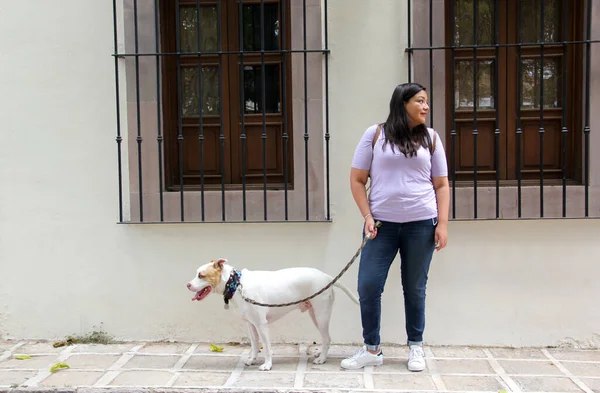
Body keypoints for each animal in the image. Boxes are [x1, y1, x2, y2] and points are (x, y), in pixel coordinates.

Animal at [185, 258, 358, 370]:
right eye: (197, 274)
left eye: (201, 275)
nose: (187, 285)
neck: (236, 284)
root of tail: (327, 277)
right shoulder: (250, 325)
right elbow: (255, 345)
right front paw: (252, 360)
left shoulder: (261, 325)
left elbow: (267, 347)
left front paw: (267, 365)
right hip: (314, 315)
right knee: (325, 339)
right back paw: (320, 355)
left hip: (321, 316)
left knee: (327, 338)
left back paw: (322, 359)